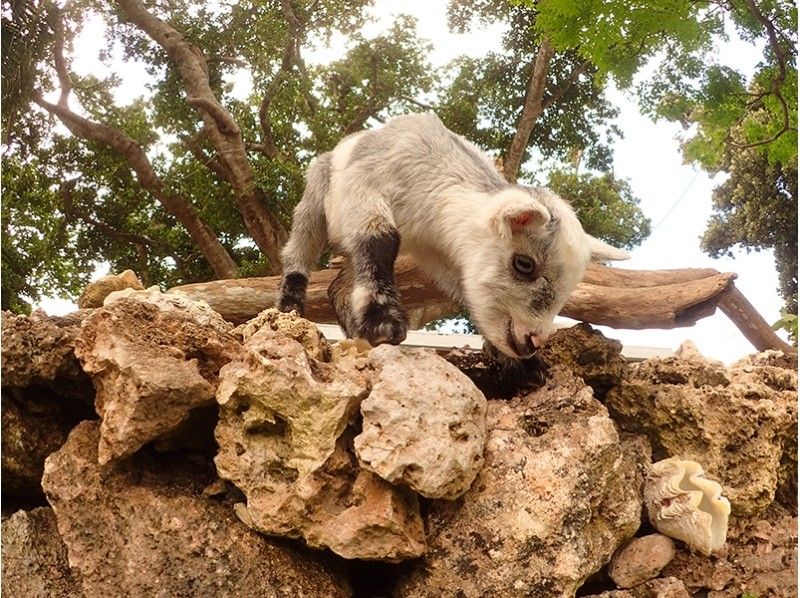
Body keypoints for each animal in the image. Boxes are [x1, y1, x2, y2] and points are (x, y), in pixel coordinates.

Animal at [278, 114, 628, 358]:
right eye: (524, 264)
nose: (533, 341)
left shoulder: (443, 252)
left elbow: (463, 289)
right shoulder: (364, 186)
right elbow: (380, 241)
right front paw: (383, 324)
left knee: (338, 285)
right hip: (318, 192)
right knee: (301, 244)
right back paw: (290, 306)